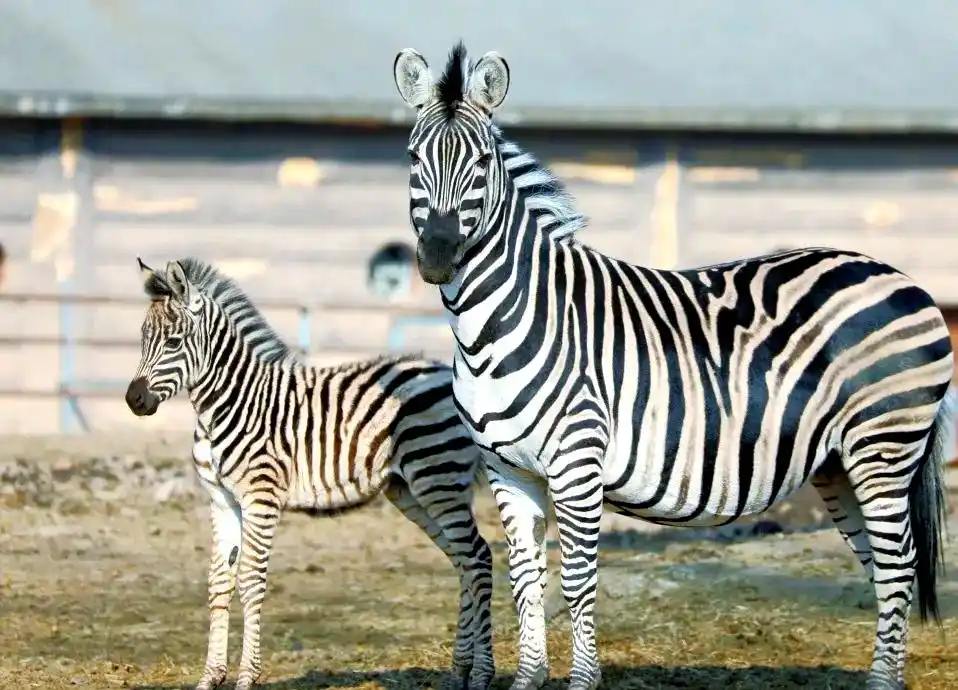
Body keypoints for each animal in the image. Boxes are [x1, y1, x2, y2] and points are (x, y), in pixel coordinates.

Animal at [124, 256, 495, 690]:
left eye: (173, 342)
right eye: (143, 338)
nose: (133, 400)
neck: (225, 404)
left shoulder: (261, 497)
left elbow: (251, 581)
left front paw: (247, 677)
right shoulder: (222, 500)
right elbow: (220, 580)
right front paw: (210, 677)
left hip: (438, 478)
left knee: (478, 558)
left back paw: (481, 673)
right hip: (414, 489)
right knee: (463, 561)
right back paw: (459, 671)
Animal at [392, 42, 955, 690]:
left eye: (482, 162)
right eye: (413, 157)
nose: (437, 256)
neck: (497, 328)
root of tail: (904, 279)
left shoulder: (577, 464)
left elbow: (577, 583)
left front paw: (583, 681)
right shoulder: (509, 471)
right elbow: (526, 582)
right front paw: (529, 679)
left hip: (882, 446)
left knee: (897, 566)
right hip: (840, 463)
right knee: (887, 571)